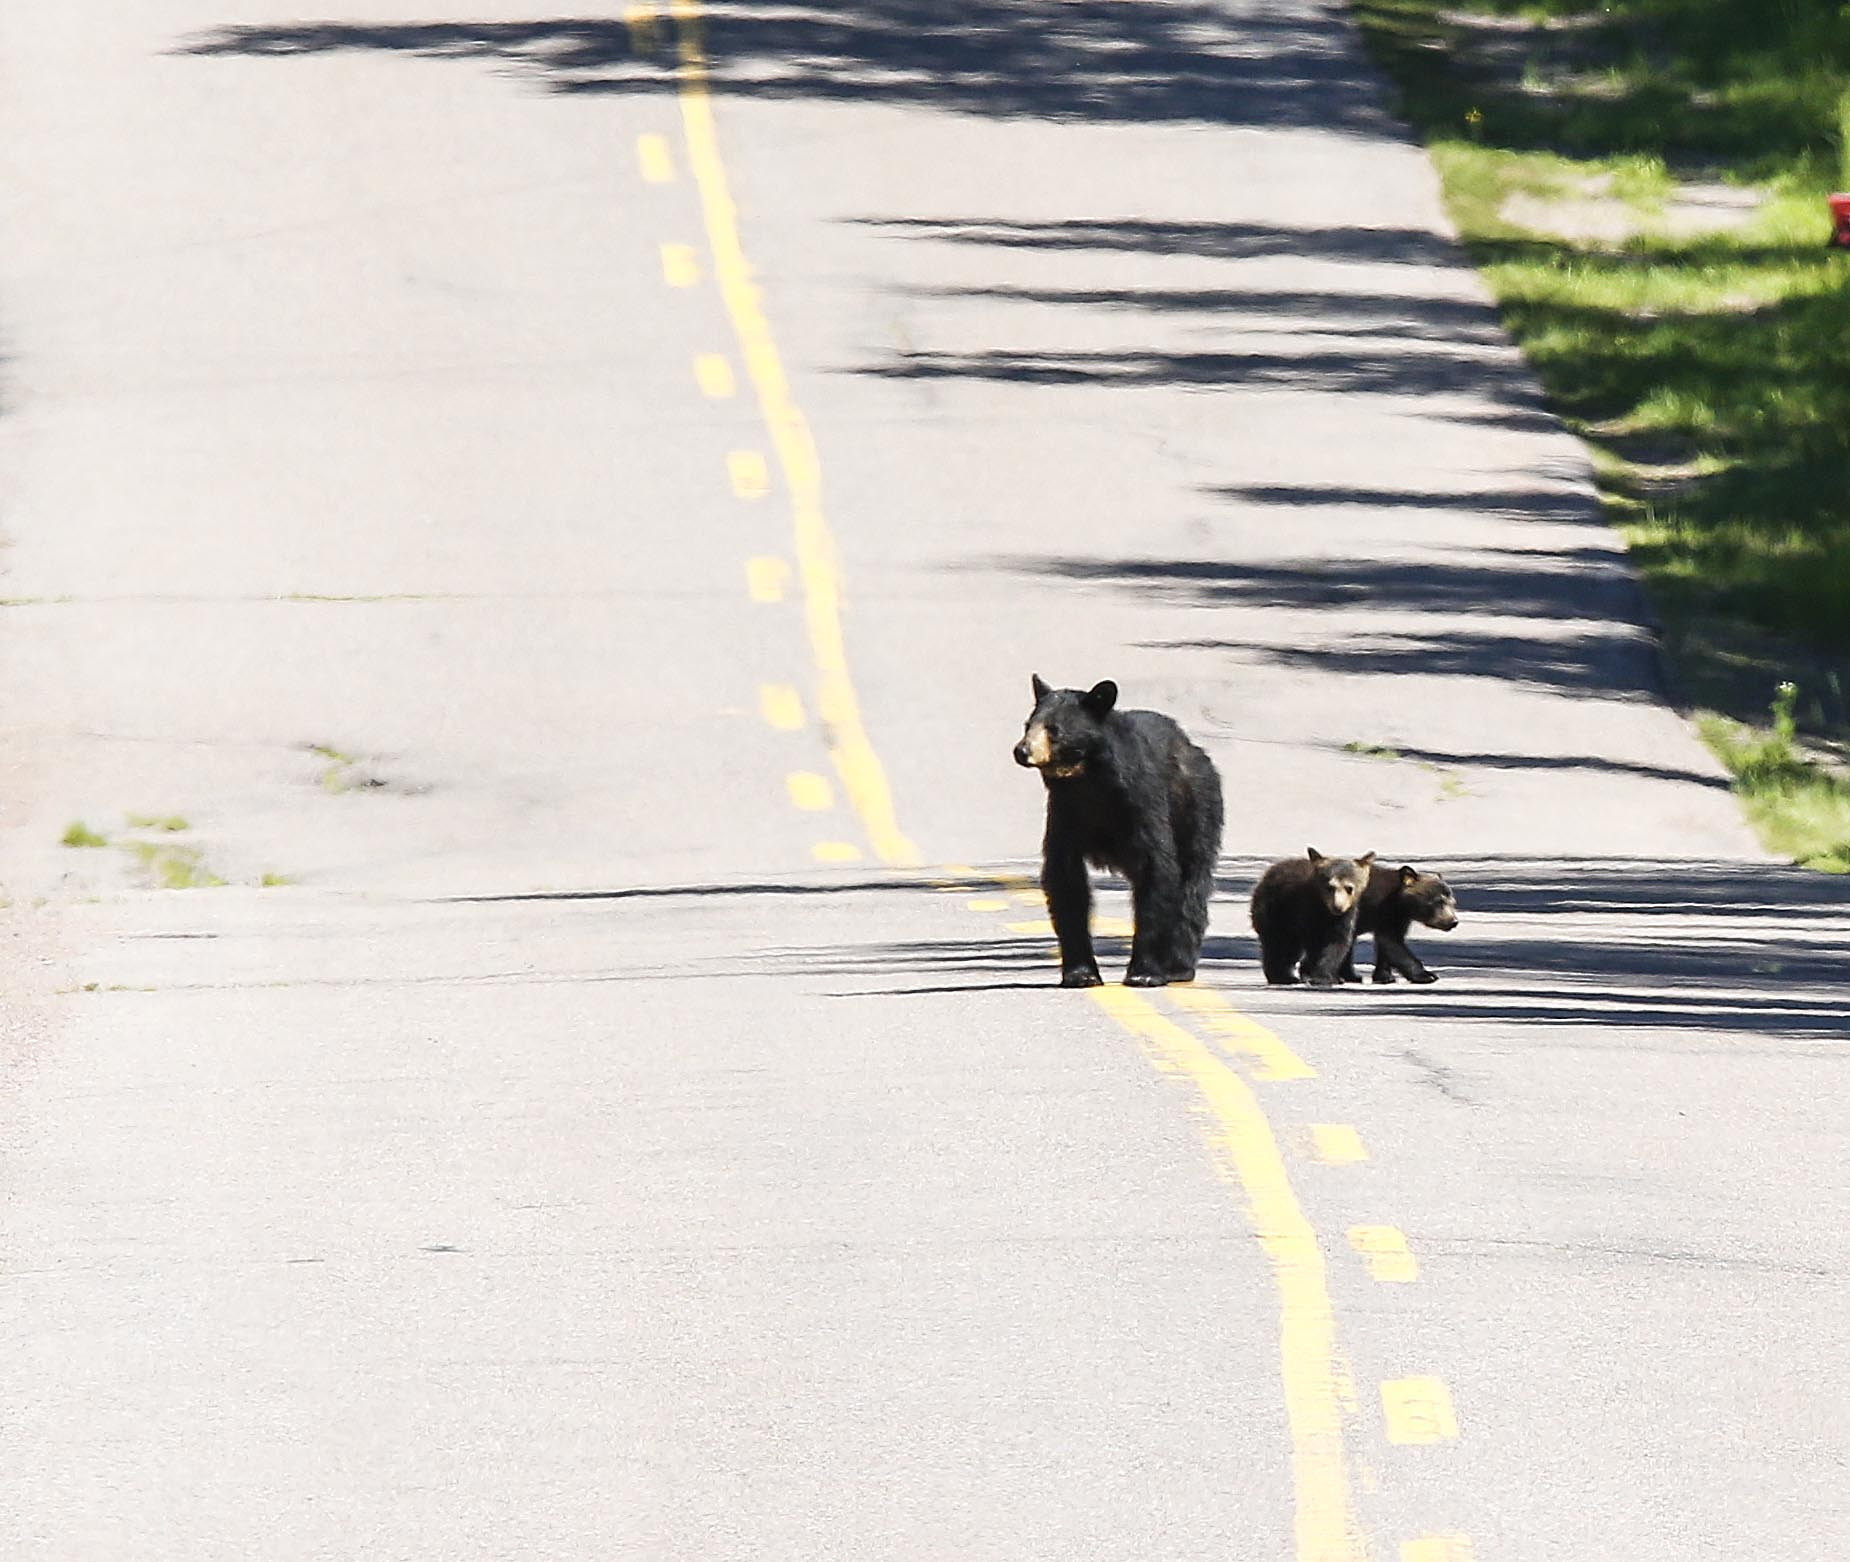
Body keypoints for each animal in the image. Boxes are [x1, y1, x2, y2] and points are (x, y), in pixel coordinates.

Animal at [1013, 674, 1223, 988]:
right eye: (1028, 725)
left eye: (1054, 729)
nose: (1021, 751)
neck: (1088, 780)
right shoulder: (1065, 812)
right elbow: (1065, 878)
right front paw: (1081, 973)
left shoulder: (1143, 801)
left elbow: (1157, 868)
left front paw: (1144, 972)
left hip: (1197, 808)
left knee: (1192, 881)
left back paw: (1178, 965)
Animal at [1249, 849, 1376, 988]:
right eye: (1330, 887)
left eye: (1349, 888)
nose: (1337, 907)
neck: (1325, 911)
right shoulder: (1306, 910)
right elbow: (1316, 943)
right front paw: (1319, 976)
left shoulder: (1345, 916)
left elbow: (1336, 943)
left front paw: (1329, 976)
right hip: (1275, 911)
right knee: (1280, 945)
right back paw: (1283, 977)